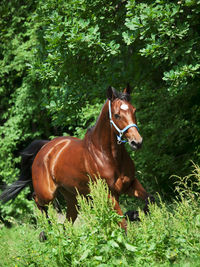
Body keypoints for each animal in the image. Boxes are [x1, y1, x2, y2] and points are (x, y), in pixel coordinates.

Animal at [0, 85, 154, 230]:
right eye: (117, 115)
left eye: (134, 111)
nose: (137, 142)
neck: (108, 156)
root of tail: (45, 148)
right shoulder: (109, 194)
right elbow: (122, 223)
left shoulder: (131, 184)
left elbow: (150, 200)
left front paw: (135, 214)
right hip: (47, 193)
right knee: (36, 199)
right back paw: (46, 231)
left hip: (72, 197)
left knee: (67, 223)